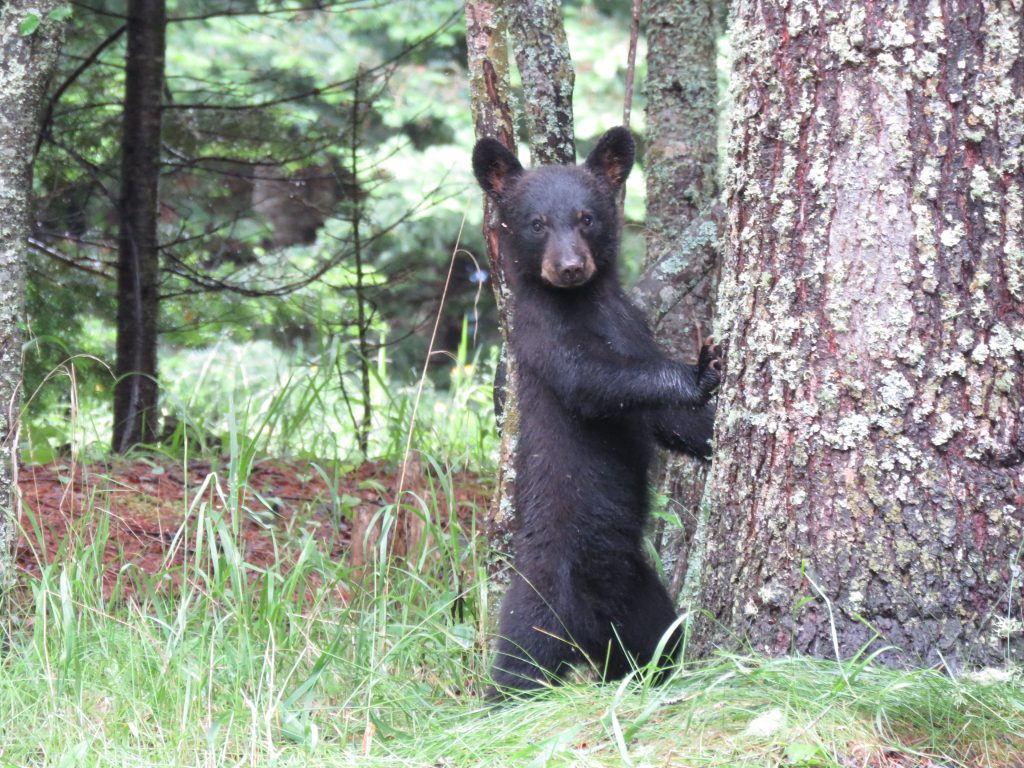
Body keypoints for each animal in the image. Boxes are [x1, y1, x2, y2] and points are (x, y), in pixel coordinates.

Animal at [472, 127, 722, 698]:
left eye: (586, 217)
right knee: (518, 663)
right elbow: (595, 382)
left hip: (643, 601)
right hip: (539, 602)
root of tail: (588, 635)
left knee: (660, 645)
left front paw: (710, 430)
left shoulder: (632, 321)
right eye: (536, 222)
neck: (587, 301)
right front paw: (698, 372)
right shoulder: (541, 337)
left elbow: (662, 422)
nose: (569, 268)